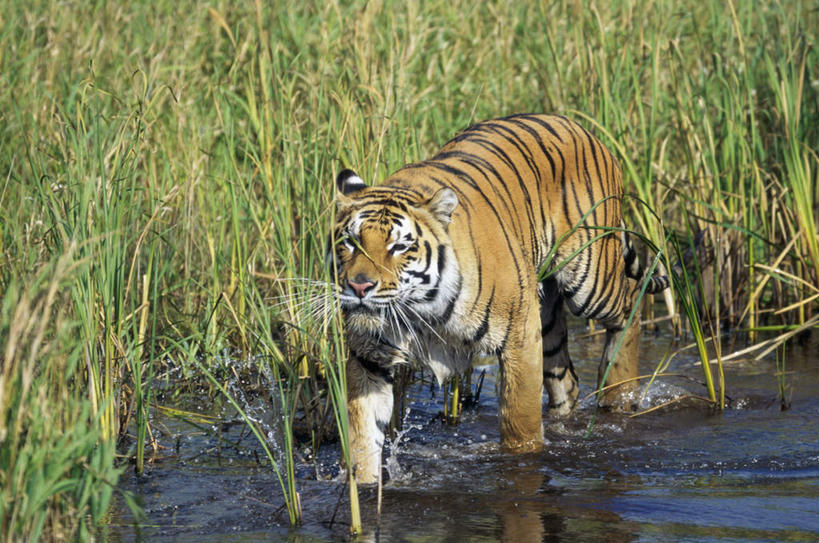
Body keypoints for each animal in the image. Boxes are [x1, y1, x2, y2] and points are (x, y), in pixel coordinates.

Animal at [330, 112, 668, 482]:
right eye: (350, 242)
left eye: (399, 246)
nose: (359, 287)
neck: (422, 309)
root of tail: (577, 125)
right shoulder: (369, 356)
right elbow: (363, 435)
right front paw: (363, 484)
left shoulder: (519, 337)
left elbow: (520, 425)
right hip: (546, 314)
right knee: (567, 379)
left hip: (590, 278)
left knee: (630, 301)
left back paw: (618, 397)